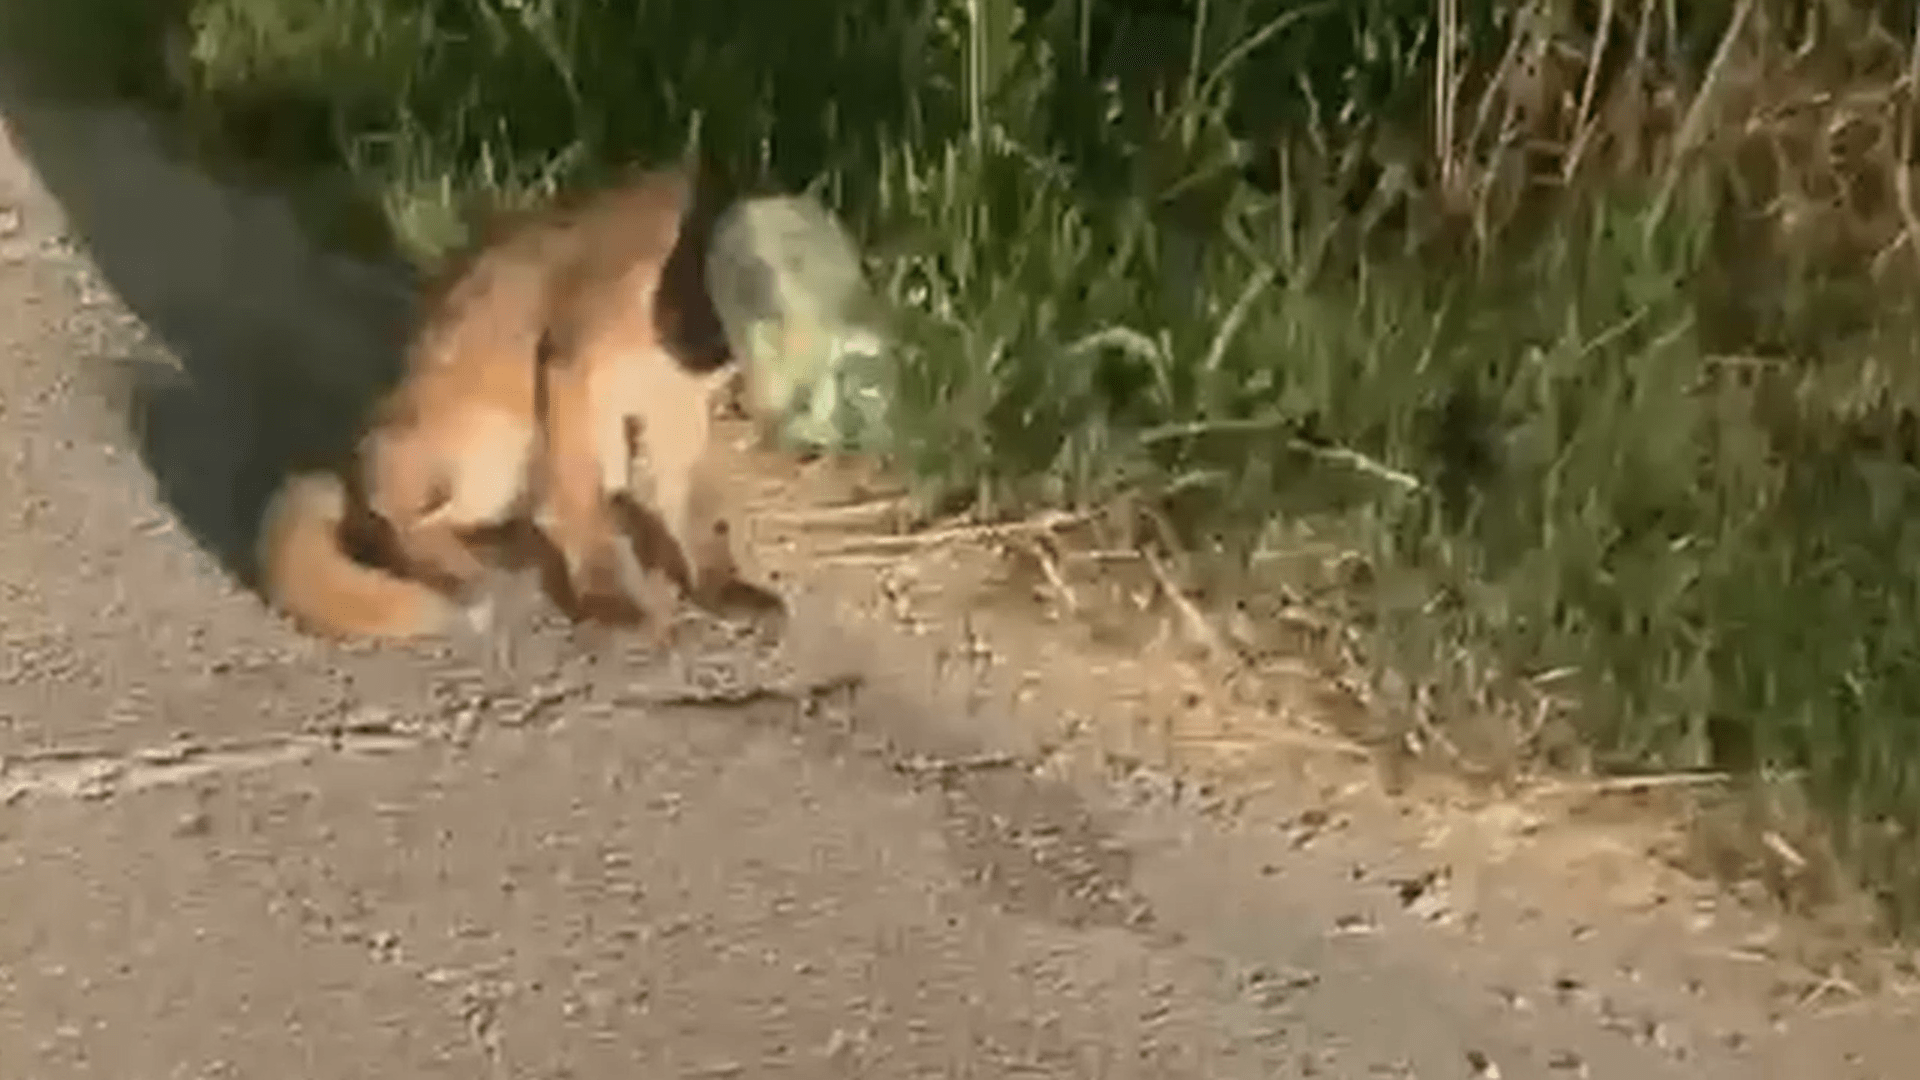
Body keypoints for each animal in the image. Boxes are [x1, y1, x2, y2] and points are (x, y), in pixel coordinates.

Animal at [259, 164, 783, 641]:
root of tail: (346, 466)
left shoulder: (677, 407)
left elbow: (695, 517)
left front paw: (721, 585)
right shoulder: (573, 369)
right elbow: (581, 506)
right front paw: (606, 598)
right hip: (498, 435)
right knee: (393, 518)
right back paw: (457, 564)